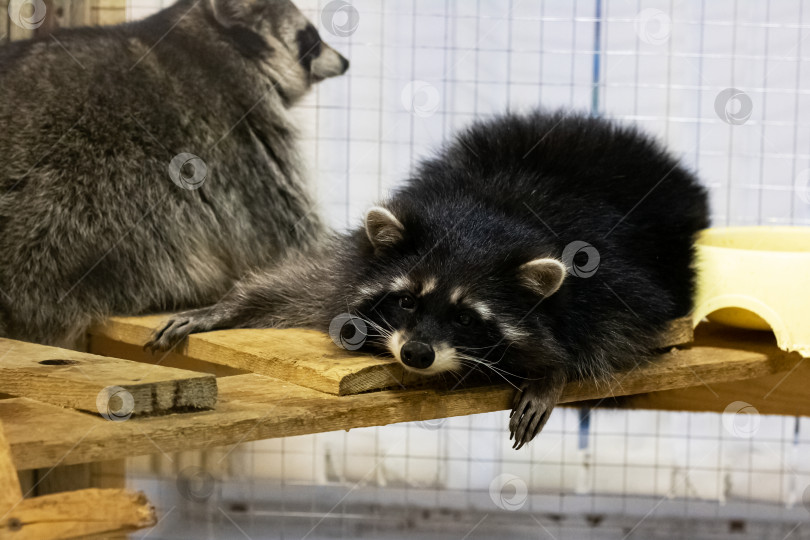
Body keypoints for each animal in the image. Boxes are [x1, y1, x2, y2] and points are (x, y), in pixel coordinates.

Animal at [0, 0, 344, 346]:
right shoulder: (248, 135)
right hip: (86, 209)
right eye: (311, 38)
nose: (345, 62)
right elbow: (289, 235)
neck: (206, 35)